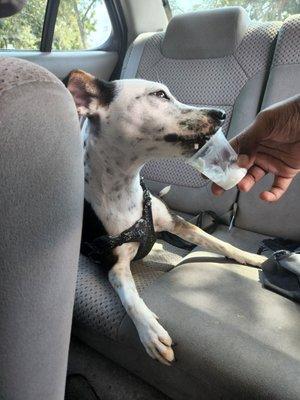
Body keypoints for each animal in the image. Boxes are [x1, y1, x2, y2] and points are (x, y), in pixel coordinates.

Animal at [64, 69, 266, 366]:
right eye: (159, 94)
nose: (220, 114)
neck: (124, 188)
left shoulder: (176, 223)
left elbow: (220, 243)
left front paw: (251, 257)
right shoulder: (114, 264)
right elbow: (131, 299)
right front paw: (150, 332)